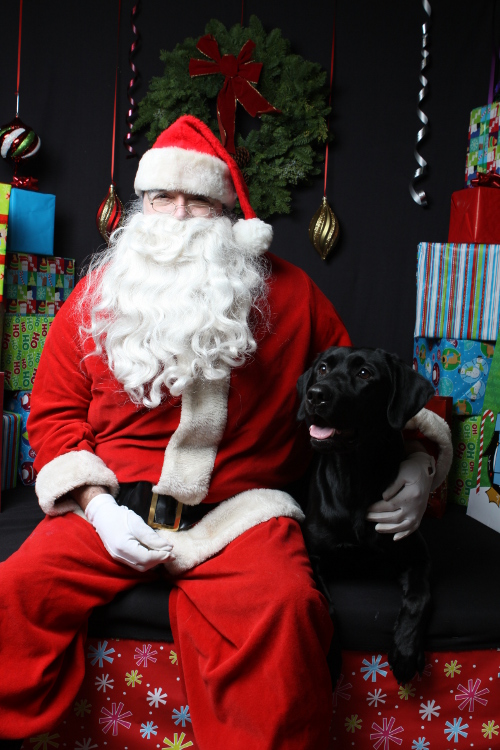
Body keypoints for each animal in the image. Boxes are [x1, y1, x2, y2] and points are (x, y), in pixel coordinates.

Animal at [298, 346, 436, 688]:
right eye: (322, 368)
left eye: (364, 374)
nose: (315, 395)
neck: (355, 476)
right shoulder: (314, 555)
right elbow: (325, 604)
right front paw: (329, 659)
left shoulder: (419, 555)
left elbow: (420, 597)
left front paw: (406, 652)